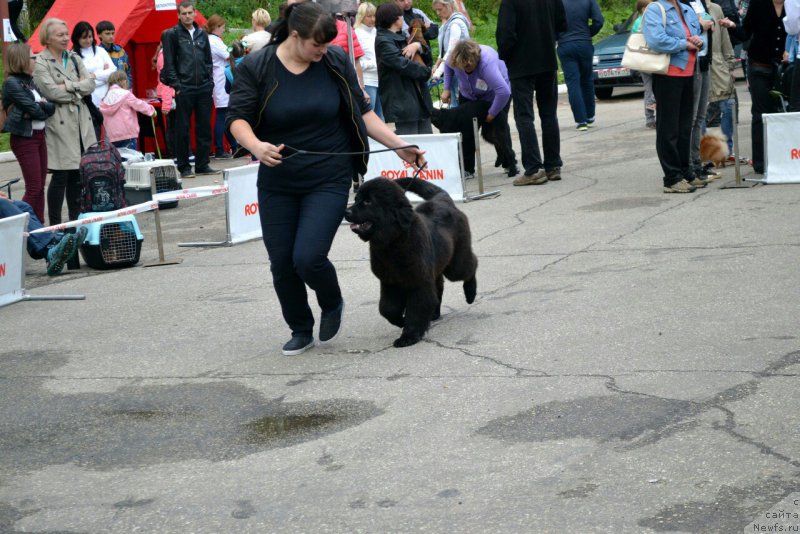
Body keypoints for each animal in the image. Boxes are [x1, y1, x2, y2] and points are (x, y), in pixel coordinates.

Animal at [342, 178, 476, 350]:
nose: (346, 212)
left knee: (471, 265)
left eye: (368, 201)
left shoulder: (418, 281)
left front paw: (408, 336)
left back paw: (470, 293)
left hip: (455, 265)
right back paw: (434, 313)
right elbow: (387, 309)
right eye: (357, 198)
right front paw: (401, 321)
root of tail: (443, 199)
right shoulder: (389, 282)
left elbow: (417, 308)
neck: (392, 243)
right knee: (438, 287)